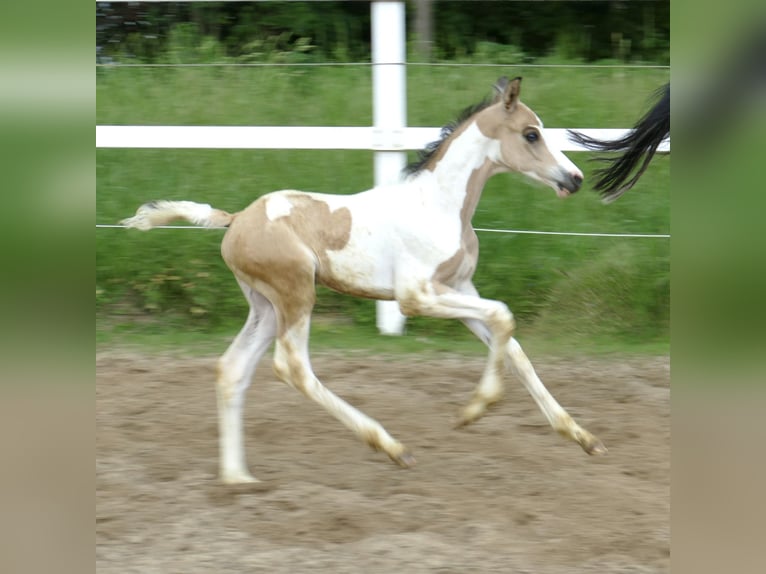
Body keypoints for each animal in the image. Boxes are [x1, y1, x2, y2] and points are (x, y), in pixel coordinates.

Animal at [123, 77, 608, 486]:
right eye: (531, 134)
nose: (575, 179)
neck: (438, 205)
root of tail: (237, 218)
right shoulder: (416, 297)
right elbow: (504, 317)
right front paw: (473, 410)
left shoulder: (458, 289)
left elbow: (514, 348)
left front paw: (583, 438)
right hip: (296, 294)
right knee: (292, 367)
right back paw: (391, 447)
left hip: (265, 306)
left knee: (232, 369)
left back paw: (238, 478)